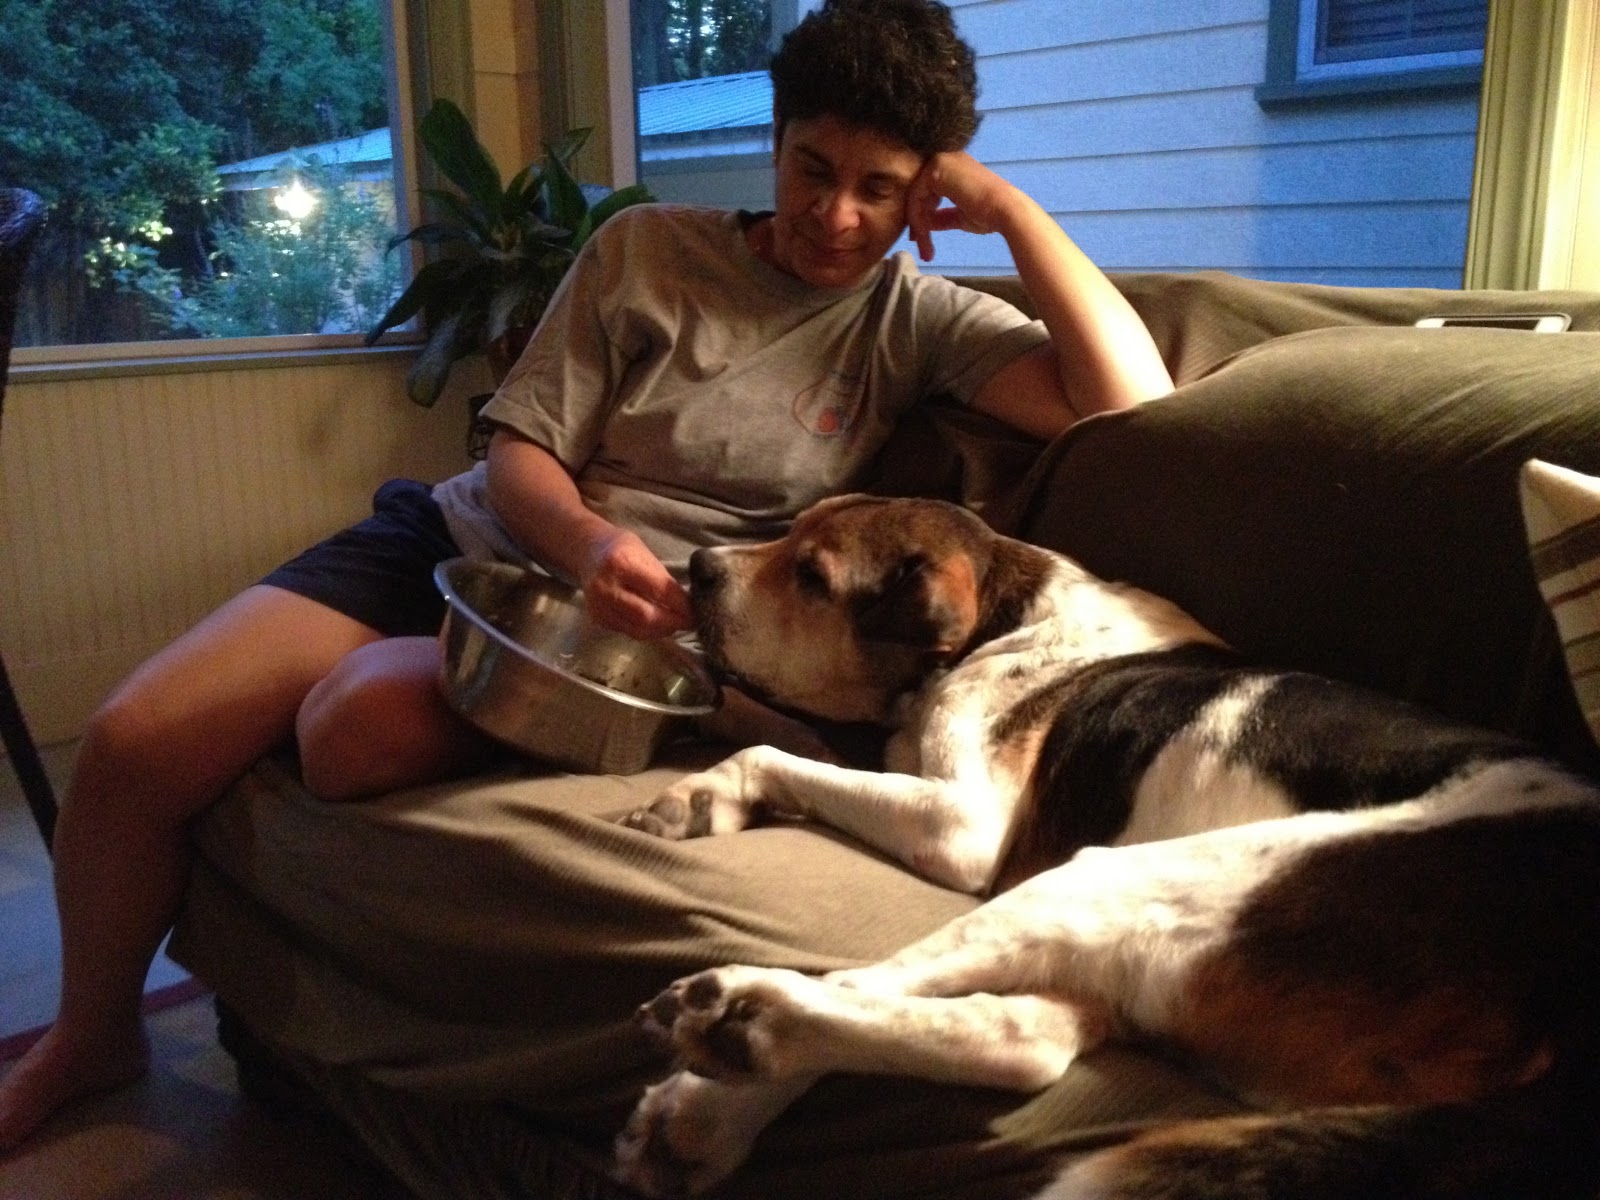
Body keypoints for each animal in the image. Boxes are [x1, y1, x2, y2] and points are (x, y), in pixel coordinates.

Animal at [613, 494, 1600, 1199]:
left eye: (813, 575)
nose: (696, 566)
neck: (1007, 614)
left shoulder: (963, 825)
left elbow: (774, 755)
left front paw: (705, 792)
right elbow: (788, 744)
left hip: (1122, 877)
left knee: (878, 984)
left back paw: (719, 1060)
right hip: (1140, 943)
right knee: (1019, 1042)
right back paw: (725, 1082)